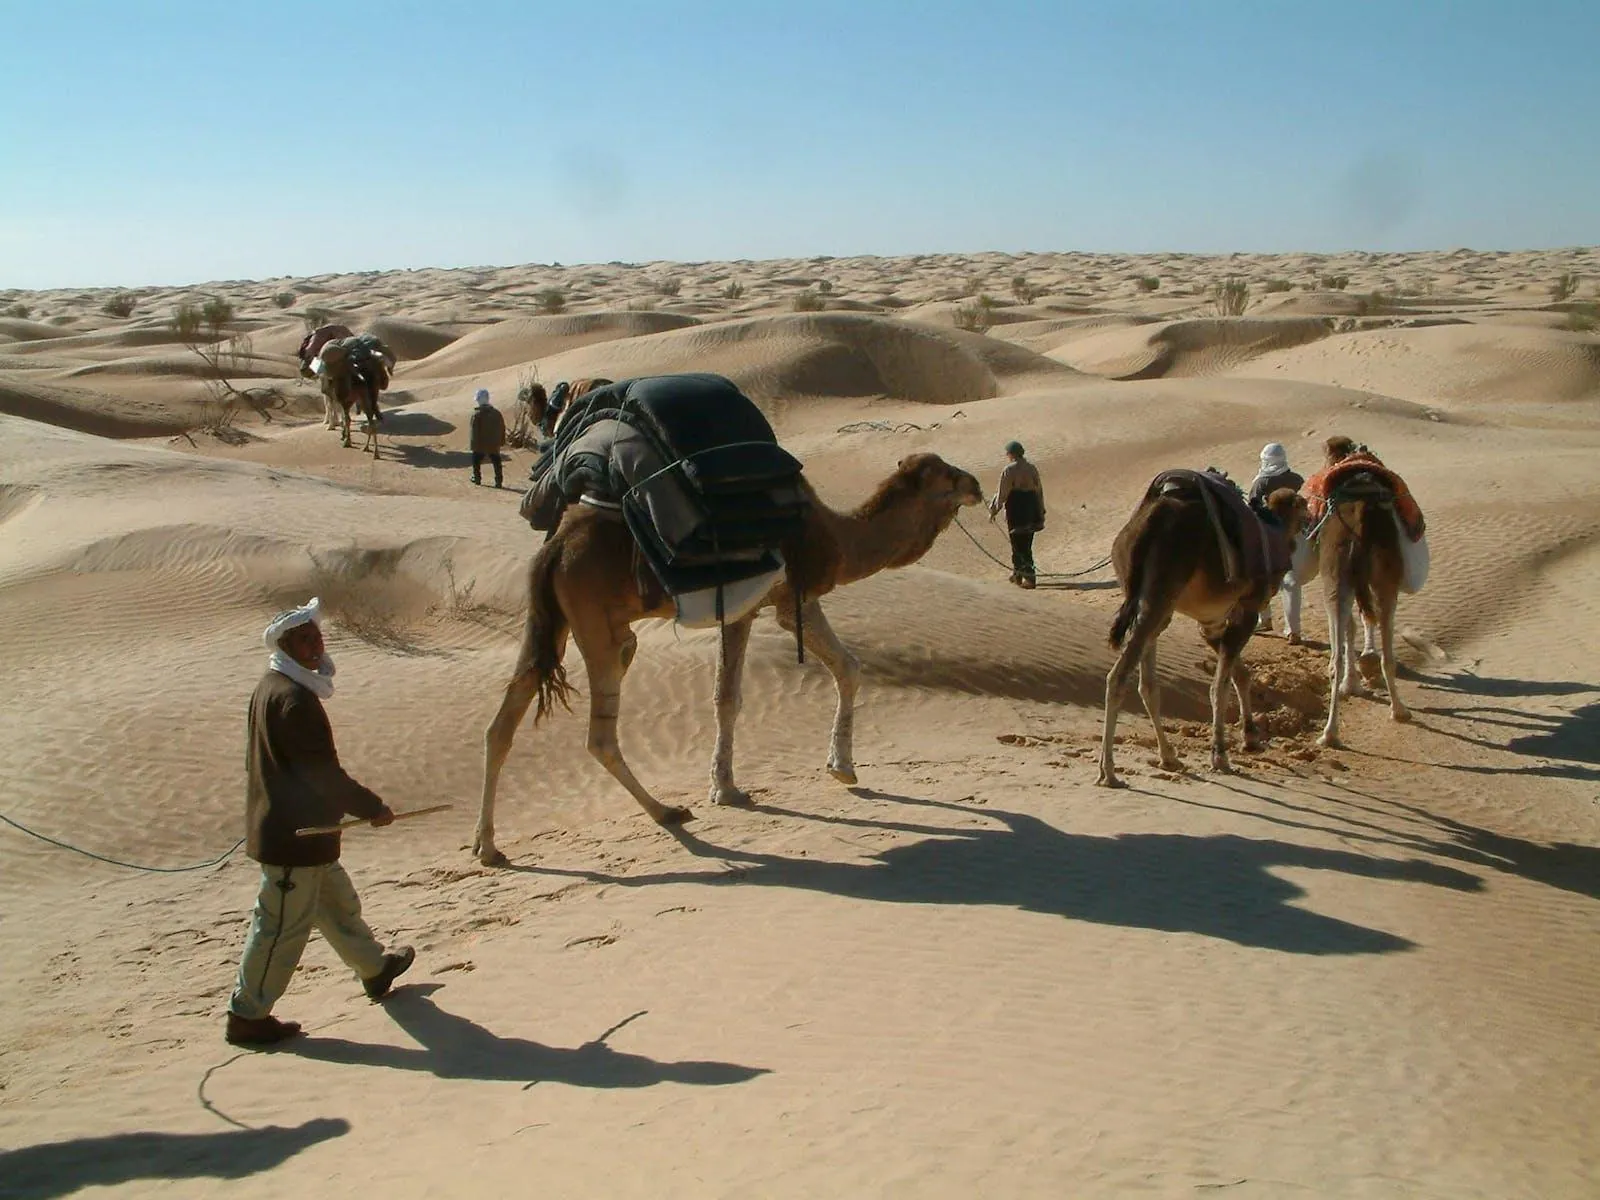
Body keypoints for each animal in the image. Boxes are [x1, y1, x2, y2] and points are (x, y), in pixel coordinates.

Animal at [473, 451, 983, 866]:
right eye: (946, 474)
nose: (977, 484)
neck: (838, 538)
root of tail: (557, 545)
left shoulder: (744, 608)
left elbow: (727, 696)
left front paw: (726, 784)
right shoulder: (787, 599)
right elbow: (843, 668)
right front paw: (839, 768)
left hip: (550, 620)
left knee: (503, 722)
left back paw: (488, 846)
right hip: (599, 624)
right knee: (599, 733)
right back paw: (667, 811)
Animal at [1097, 473, 1308, 788]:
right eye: (1304, 502)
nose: (1310, 519)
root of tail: (1150, 519)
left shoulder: (1210, 622)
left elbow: (1240, 674)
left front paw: (1250, 737)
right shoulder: (1248, 608)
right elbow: (1220, 684)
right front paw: (1220, 754)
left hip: (1150, 599)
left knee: (1147, 683)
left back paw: (1168, 756)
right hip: (1162, 590)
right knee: (1119, 676)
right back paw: (1109, 771)